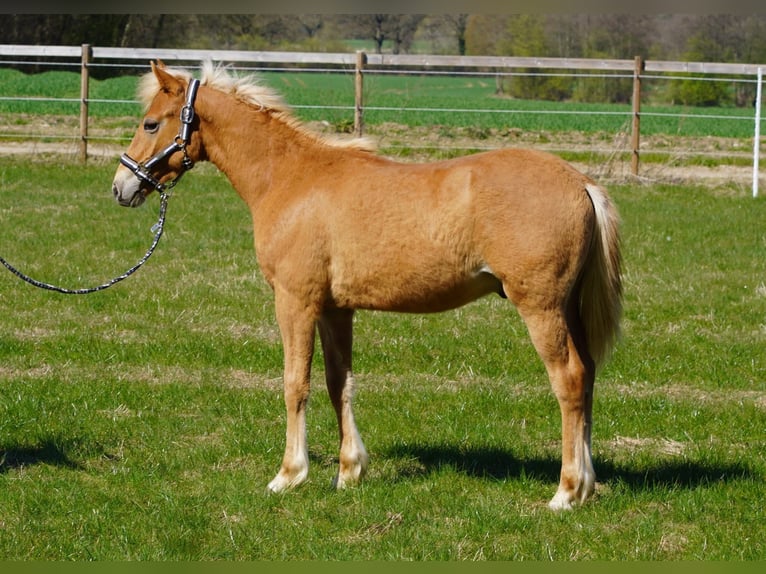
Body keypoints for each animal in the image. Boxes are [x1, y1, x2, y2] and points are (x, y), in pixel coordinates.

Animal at [112, 60, 622, 510]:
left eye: (151, 123)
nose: (121, 187)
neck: (291, 178)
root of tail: (581, 183)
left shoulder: (295, 301)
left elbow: (295, 383)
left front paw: (289, 475)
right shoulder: (335, 309)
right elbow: (340, 382)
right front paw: (348, 471)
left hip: (541, 308)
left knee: (569, 381)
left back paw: (566, 492)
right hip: (569, 310)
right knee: (589, 376)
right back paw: (587, 485)